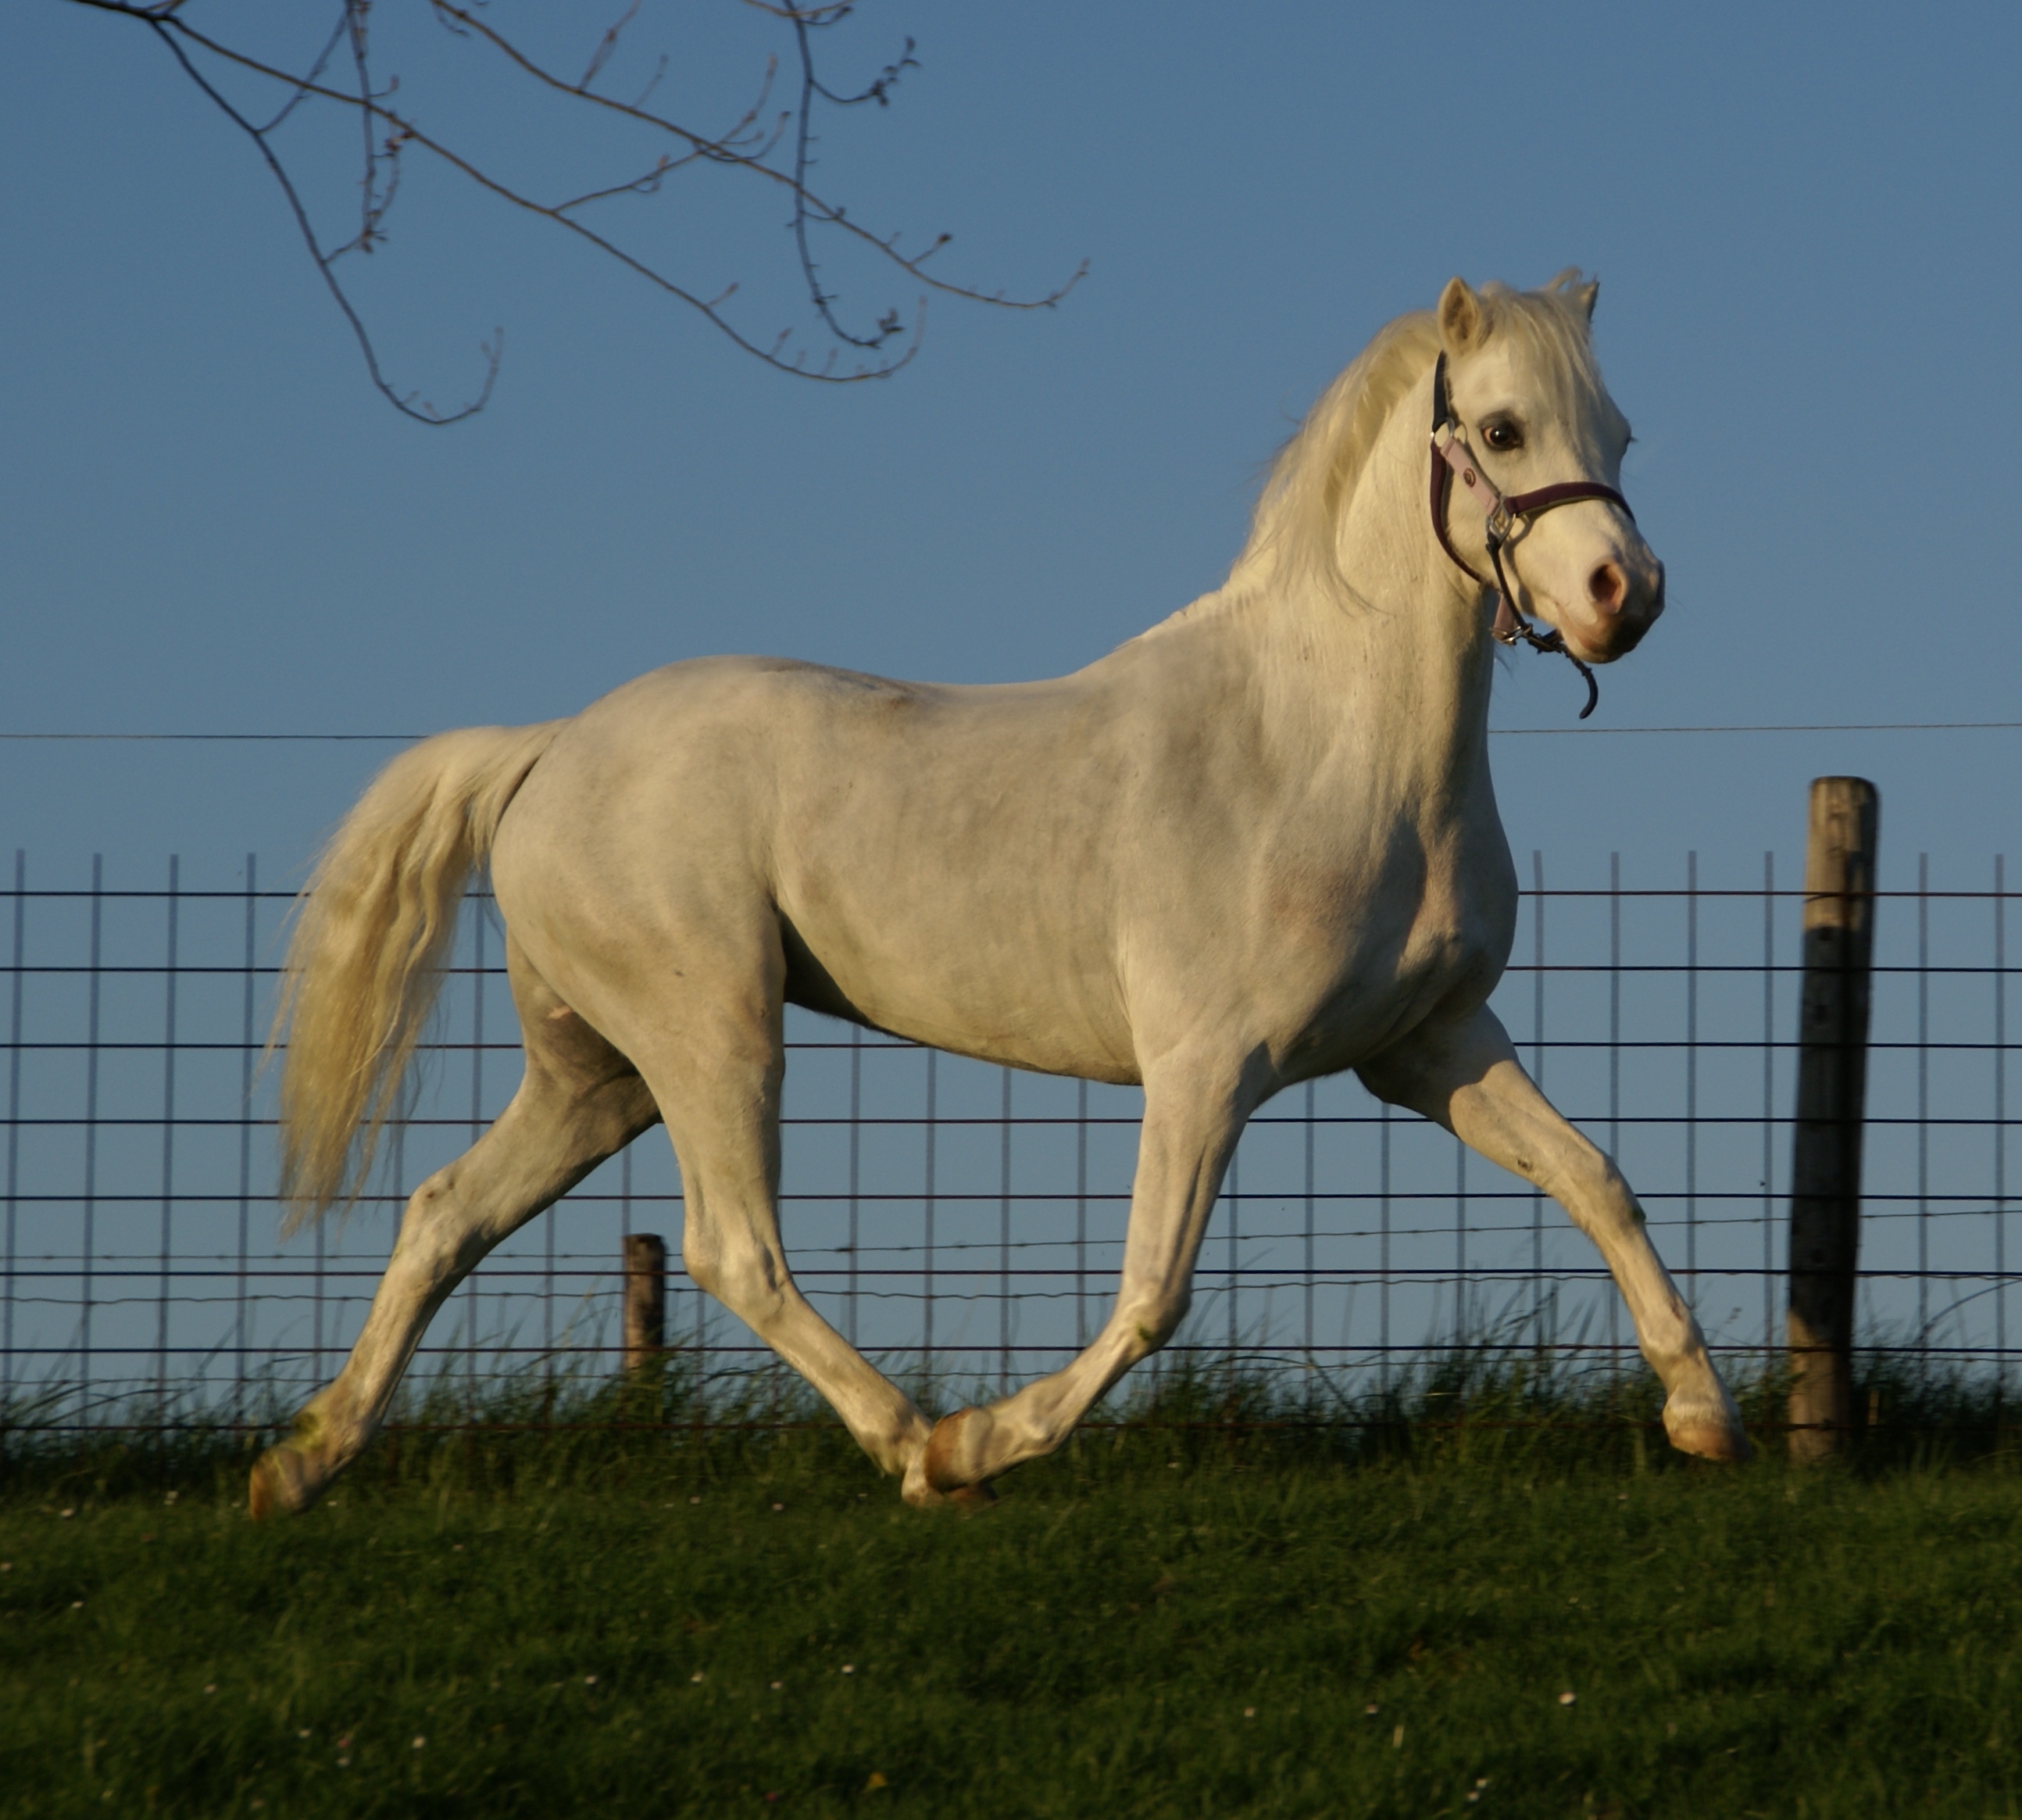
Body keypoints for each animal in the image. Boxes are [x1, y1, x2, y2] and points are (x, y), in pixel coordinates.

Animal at [248, 272, 1748, 1519]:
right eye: (1500, 428)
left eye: (1617, 433)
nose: (1625, 593)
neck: (1329, 750)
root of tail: (550, 748)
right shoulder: (1207, 1067)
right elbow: (1153, 1289)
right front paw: (989, 1441)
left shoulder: (1431, 1047)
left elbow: (1599, 1180)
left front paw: (1702, 1415)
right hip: (710, 1034)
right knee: (734, 1248)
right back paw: (914, 1441)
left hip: (598, 1074)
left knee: (445, 1210)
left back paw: (303, 1459)